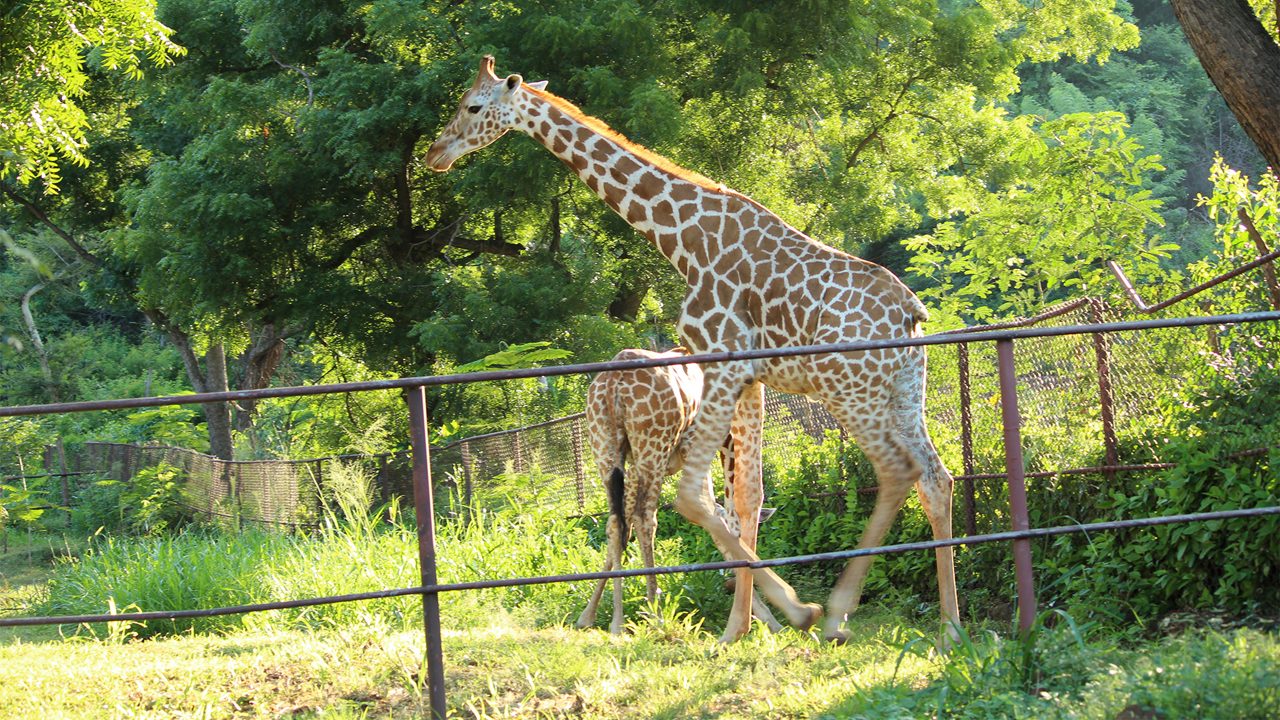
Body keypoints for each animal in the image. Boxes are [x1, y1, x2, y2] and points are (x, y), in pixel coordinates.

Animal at [578, 348, 778, 632]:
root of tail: (613, 382)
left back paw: (617, 622)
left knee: (617, 521)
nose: (728, 584)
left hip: (608, 448)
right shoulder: (694, 449)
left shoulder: (633, 465)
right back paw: (655, 613)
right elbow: (717, 521)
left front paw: (589, 615)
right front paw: (767, 618)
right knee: (646, 518)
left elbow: (621, 527)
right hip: (653, 447)